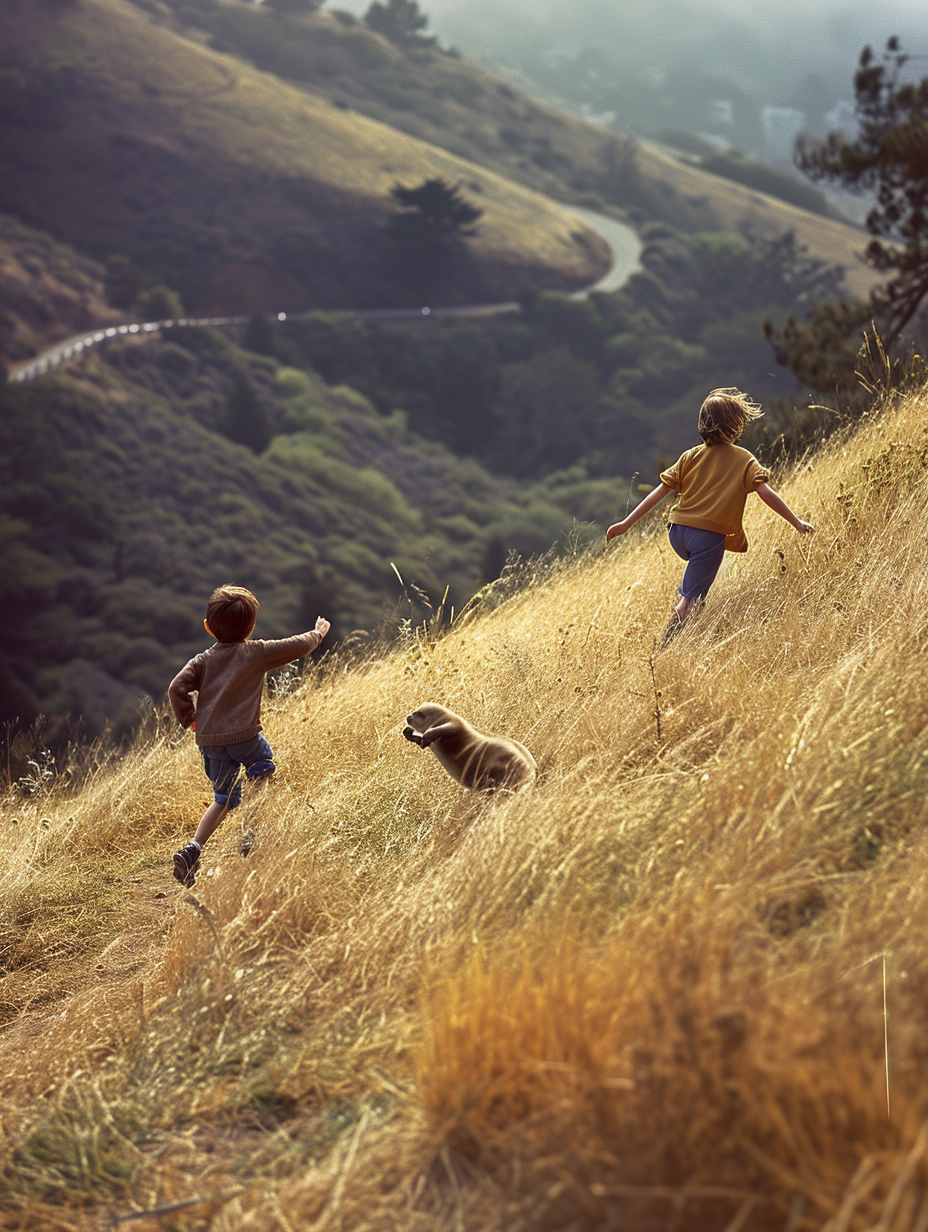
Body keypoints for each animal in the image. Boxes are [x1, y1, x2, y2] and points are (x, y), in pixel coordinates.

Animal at [399, 704, 534, 788]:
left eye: (416, 713)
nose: (408, 716)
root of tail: (531, 770)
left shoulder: (455, 723)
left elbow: (446, 728)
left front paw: (426, 734)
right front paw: (408, 733)